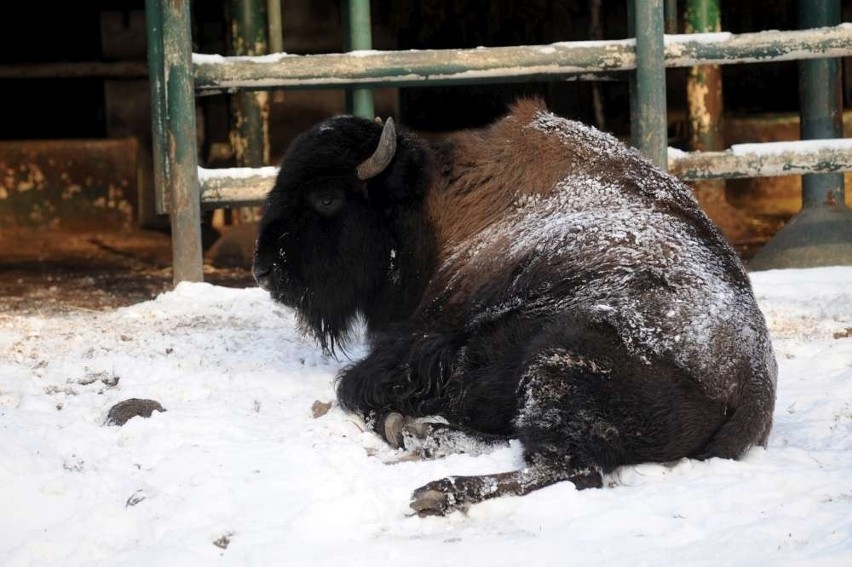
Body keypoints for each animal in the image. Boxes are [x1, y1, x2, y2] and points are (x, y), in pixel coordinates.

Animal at [251, 100, 780, 516]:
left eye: (326, 197)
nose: (262, 270)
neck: (430, 203)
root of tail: (751, 395)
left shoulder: (422, 345)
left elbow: (352, 387)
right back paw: (421, 435)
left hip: (560, 358)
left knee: (569, 467)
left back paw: (432, 484)